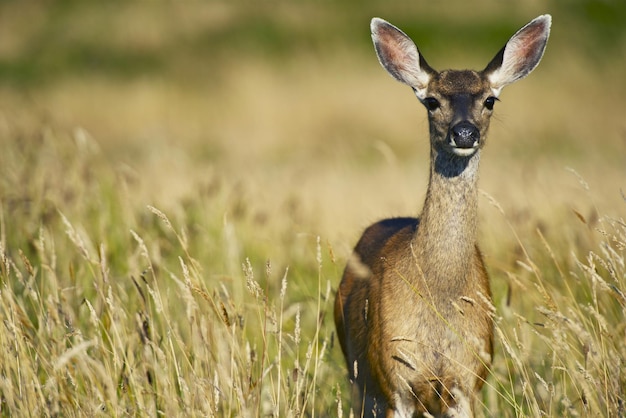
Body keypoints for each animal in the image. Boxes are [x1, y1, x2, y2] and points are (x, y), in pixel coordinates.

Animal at [334, 14, 548, 416]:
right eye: (431, 100)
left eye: (490, 99)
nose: (464, 132)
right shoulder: (394, 379)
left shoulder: (467, 381)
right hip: (359, 378)